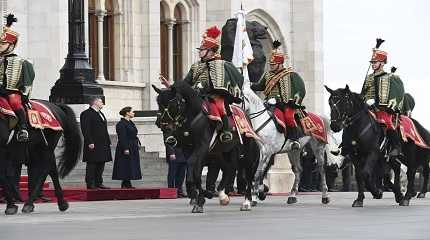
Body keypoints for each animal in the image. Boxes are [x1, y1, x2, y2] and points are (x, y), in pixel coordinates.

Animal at [154, 82, 258, 212]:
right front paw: (199, 196)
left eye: (171, 103)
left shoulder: (202, 148)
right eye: (159, 103)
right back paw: (223, 195)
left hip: (246, 151)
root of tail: (245, 114)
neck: (195, 117)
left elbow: (196, 171)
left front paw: (201, 198)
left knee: (247, 173)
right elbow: (192, 172)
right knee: (229, 169)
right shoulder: (192, 150)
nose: (163, 125)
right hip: (225, 151)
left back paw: (247, 202)